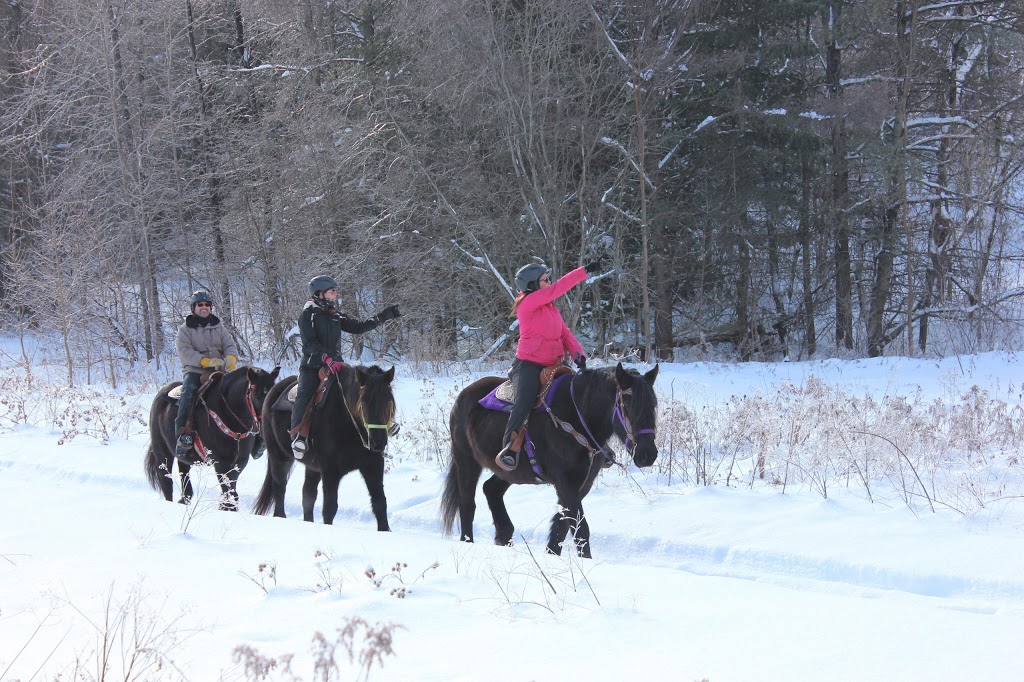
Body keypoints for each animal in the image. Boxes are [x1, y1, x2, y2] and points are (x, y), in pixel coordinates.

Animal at [143, 364, 280, 507]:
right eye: (257, 395)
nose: (267, 423)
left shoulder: (240, 461)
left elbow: (231, 488)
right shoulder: (221, 462)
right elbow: (228, 490)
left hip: (183, 455)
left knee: (183, 471)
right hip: (162, 452)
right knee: (165, 480)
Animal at [253, 364, 397, 528]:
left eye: (388, 401)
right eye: (364, 401)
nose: (378, 442)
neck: (349, 424)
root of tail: (273, 390)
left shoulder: (373, 466)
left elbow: (380, 503)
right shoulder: (330, 471)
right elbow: (329, 508)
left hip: (312, 467)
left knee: (308, 494)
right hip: (279, 456)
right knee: (280, 486)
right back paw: (280, 515)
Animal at [440, 360, 655, 557]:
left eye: (652, 405)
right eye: (628, 403)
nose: (648, 455)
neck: (575, 418)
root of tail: (464, 396)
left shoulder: (580, 484)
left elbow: (561, 528)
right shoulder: (565, 481)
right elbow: (580, 530)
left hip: (509, 472)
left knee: (491, 489)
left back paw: (504, 535)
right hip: (466, 460)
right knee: (467, 503)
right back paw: (468, 542)